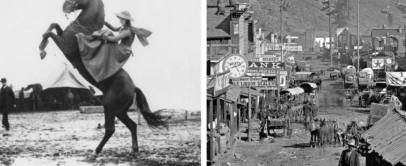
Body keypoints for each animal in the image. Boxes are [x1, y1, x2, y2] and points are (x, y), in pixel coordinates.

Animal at [37, 0, 167, 158]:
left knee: (110, 129)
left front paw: (42, 50)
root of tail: (133, 87)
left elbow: (49, 32)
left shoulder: (64, 45)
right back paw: (134, 149)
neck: (83, 30)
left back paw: (96, 151)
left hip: (109, 107)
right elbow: (54, 25)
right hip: (119, 111)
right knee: (132, 125)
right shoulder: (62, 35)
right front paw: (43, 47)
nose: (65, 6)